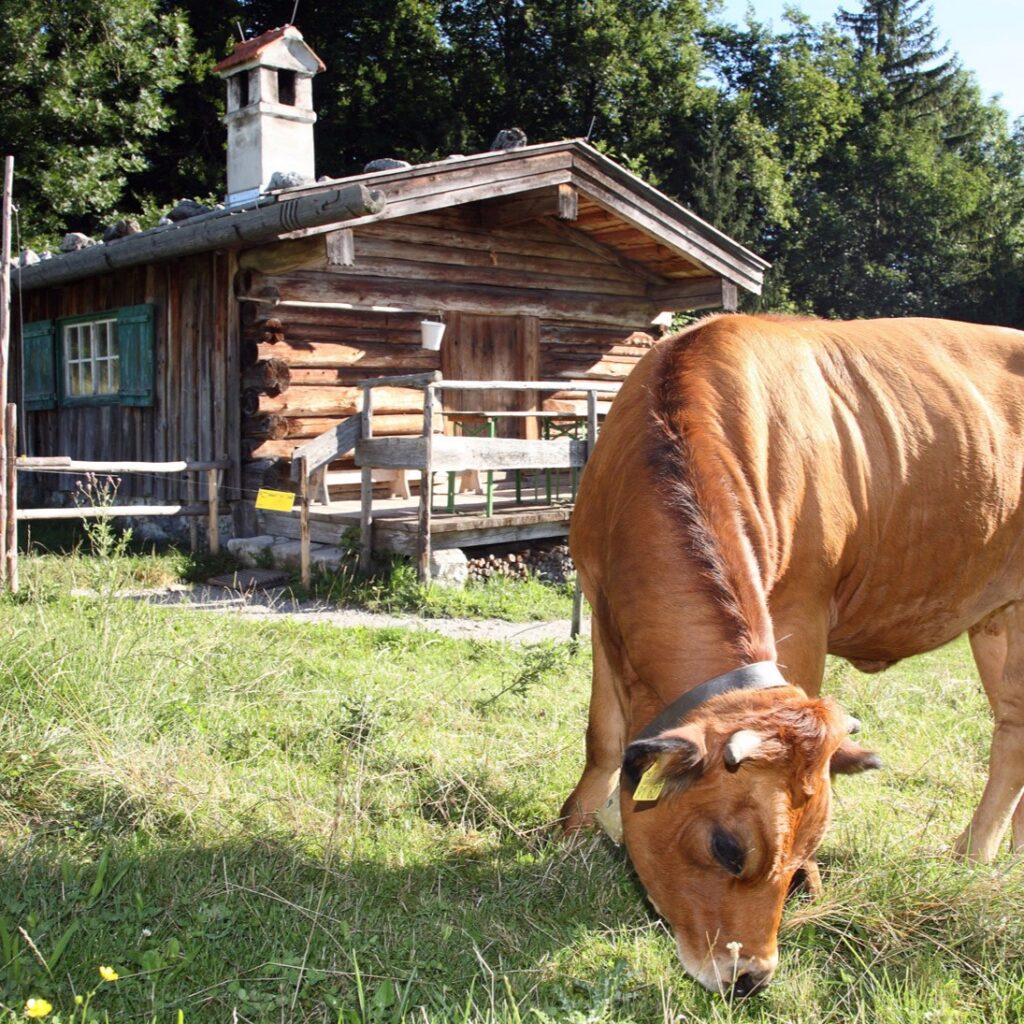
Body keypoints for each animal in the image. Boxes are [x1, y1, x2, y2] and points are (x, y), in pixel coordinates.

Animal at [561, 314, 1024, 996]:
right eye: (728, 848)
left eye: (804, 849)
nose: (751, 976)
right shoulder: (600, 610)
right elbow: (602, 736)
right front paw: (567, 830)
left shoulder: (803, 612)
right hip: (998, 616)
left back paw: (971, 854)